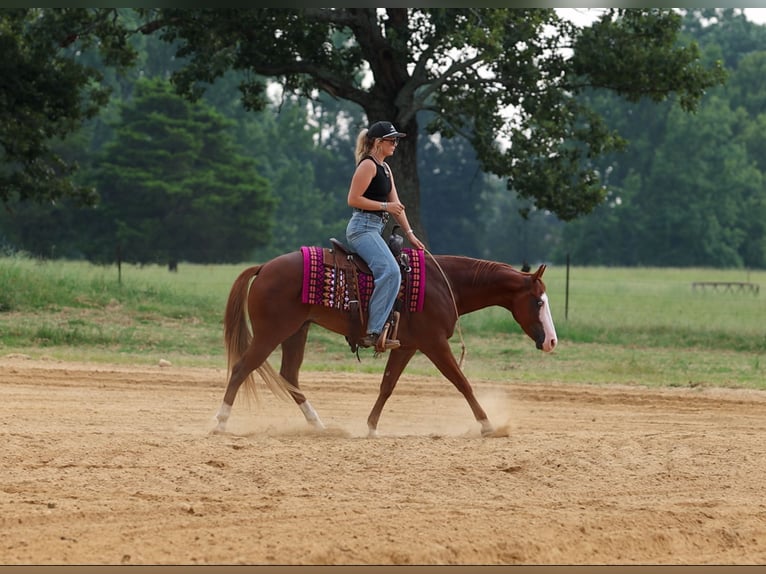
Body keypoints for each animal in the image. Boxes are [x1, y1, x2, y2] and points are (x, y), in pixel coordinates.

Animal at [213, 245, 557, 437]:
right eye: (539, 301)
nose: (552, 342)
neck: (445, 283)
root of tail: (264, 268)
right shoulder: (434, 344)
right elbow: (462, 382)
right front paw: (487, 425)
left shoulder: (407, 346)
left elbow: (387, 385)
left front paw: (371, 427)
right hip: (272, 332)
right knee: (242, 368)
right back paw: (220, 422)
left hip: (297, 331)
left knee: (289, 376)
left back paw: (319, 426)